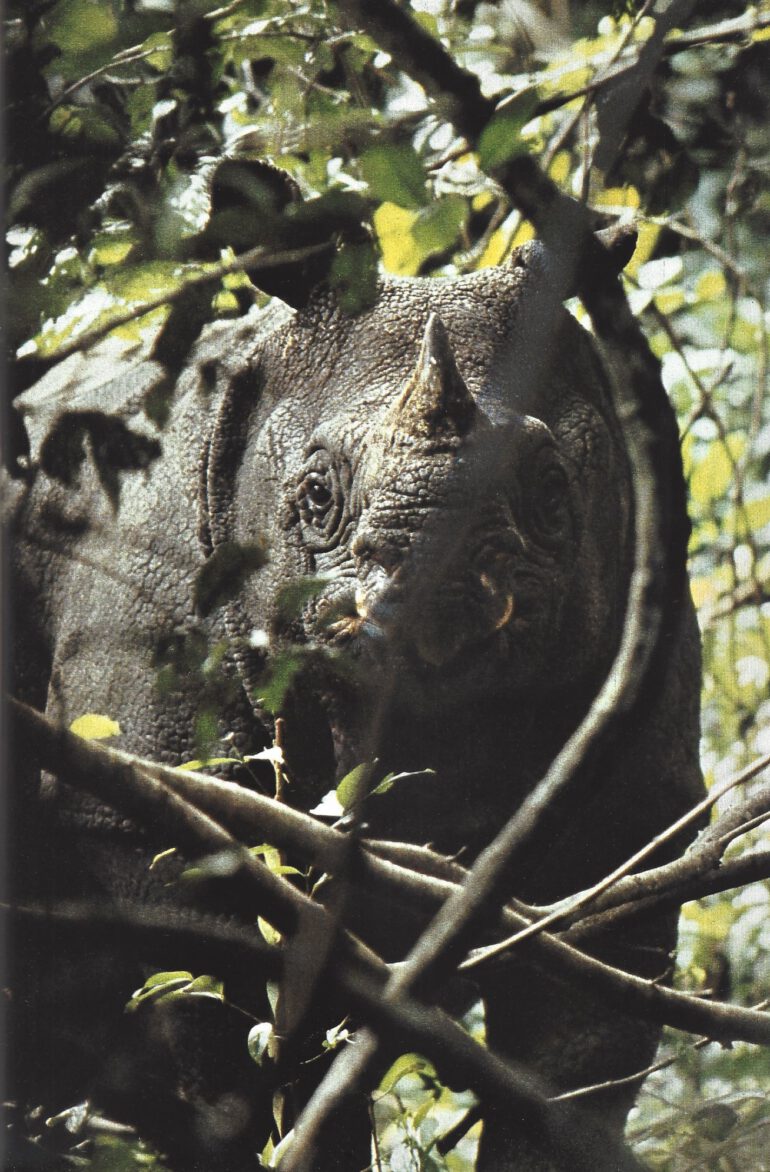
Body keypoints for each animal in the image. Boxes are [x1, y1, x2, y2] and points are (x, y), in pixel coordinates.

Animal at [8, 245, 703, 1170]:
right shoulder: (140, 785)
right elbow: (232, 1020)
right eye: (314, 496)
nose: (428, 592)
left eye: (554, 489)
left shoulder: (632, 806)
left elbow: (573, 1068)